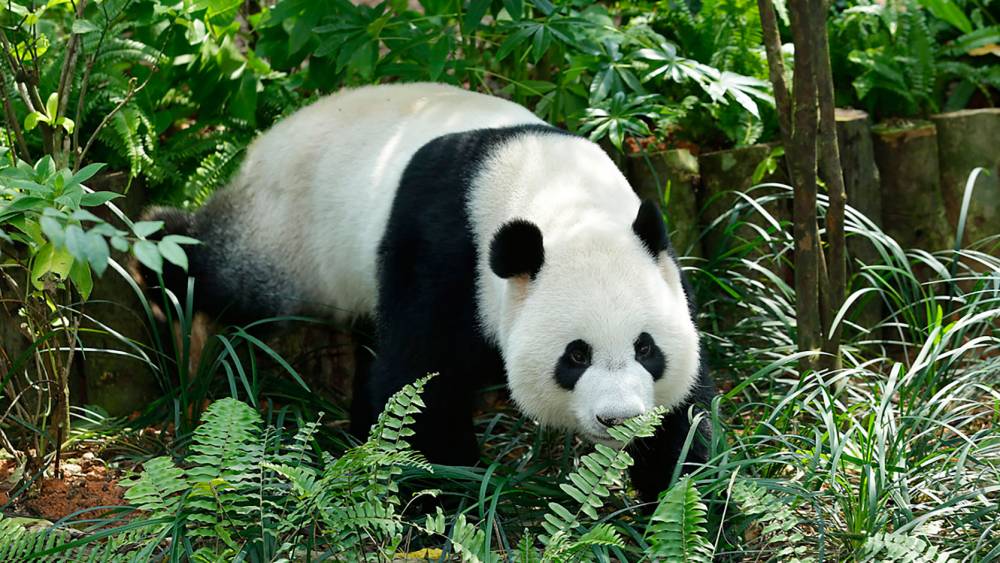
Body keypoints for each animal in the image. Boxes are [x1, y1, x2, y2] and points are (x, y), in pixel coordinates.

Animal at [145, 82, 714, 503]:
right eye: (575, 355)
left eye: (646, 347)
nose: (619, 418)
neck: (554, 193)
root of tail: (264, 142)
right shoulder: (446, 251)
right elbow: (422, 379)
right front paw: (443, 490)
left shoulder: (662, 263)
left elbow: (686, 410)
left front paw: (675, 490)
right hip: (288, 233)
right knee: (229, 275)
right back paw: (156, 255)